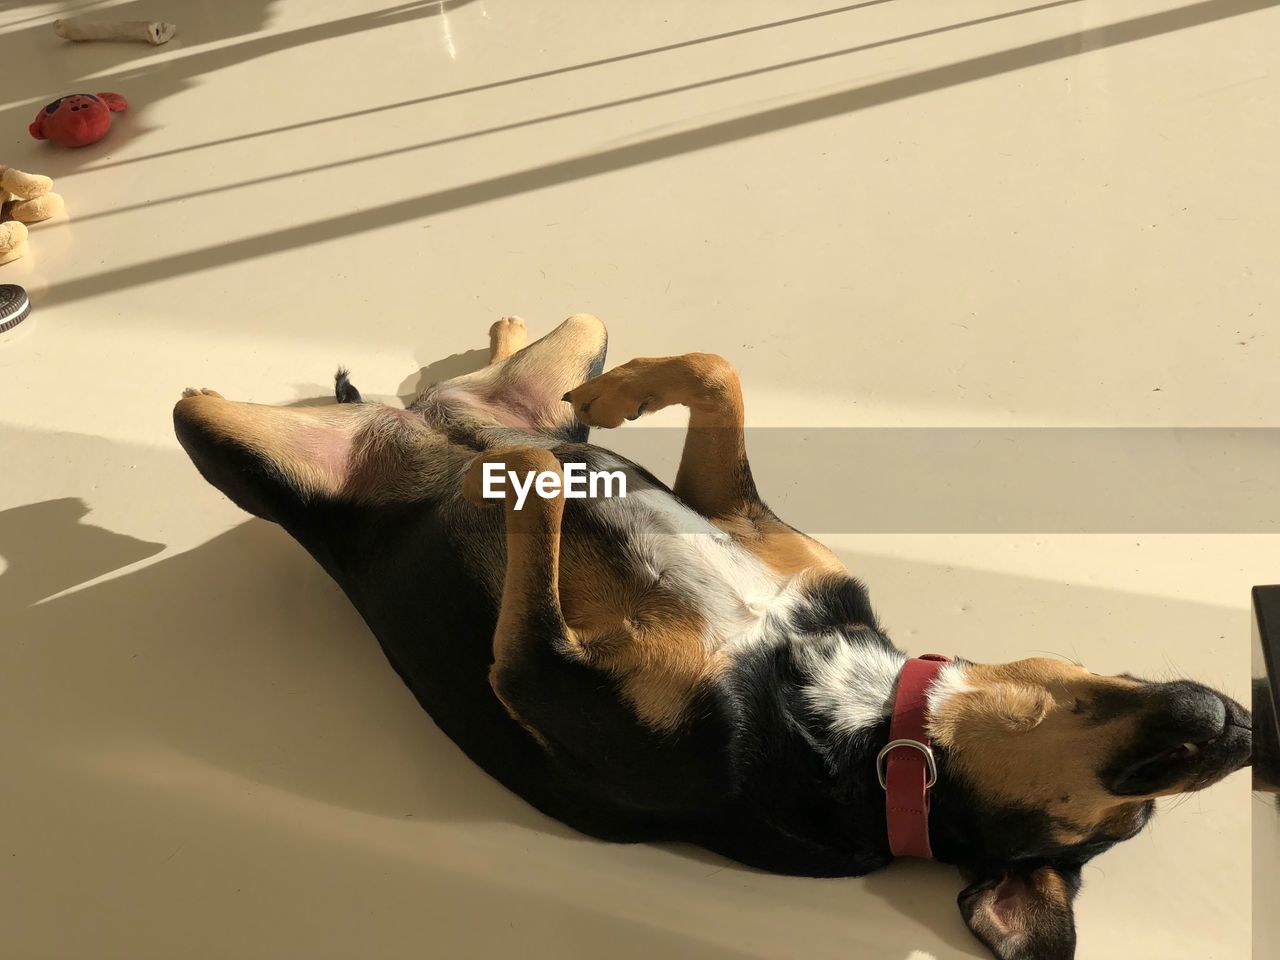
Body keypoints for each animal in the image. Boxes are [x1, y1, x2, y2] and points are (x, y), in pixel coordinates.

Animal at [172, 317, 1249, 960]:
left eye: (1129, 810)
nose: (1238, 727)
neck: (866, 724)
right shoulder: (743, 519)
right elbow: (712, 374)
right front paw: (610, 411)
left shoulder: (532, 674)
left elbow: (538, 492)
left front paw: (527, 472)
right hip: (556, 353)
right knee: (550, 364)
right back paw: (524, 365)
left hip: (219, 436)